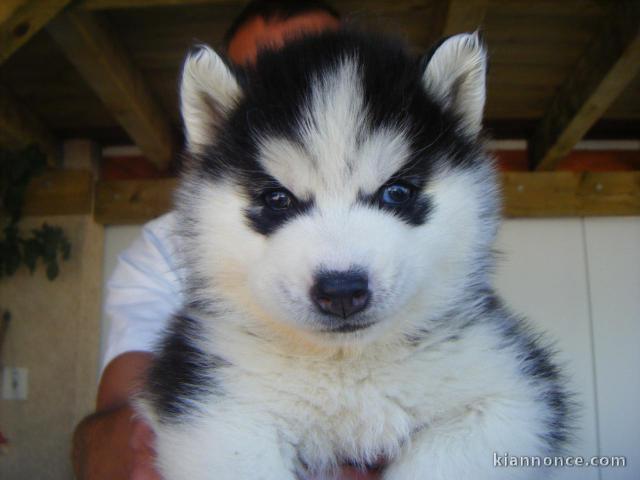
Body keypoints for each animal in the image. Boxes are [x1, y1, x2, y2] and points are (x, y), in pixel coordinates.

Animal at [138, 29, 572, 480]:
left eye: (396, 192)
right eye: (277, 199)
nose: (342, 290)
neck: (347, 368)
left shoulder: (510, 391)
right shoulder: (210, 405)